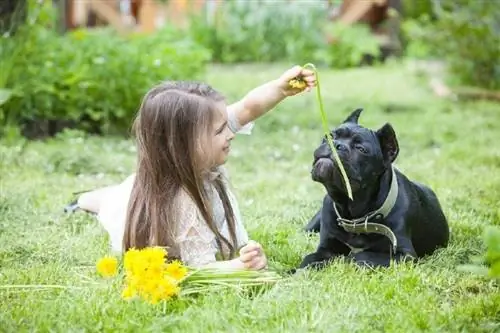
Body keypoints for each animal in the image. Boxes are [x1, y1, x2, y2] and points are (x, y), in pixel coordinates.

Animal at [298, 107, 452, 268]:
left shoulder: (404, 255)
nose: (336, 144)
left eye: (361, 149)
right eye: (329, 136)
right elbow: (310, 258)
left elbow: (360, 256)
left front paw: (344, 260)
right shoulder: (326, 248)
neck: (354, 215)